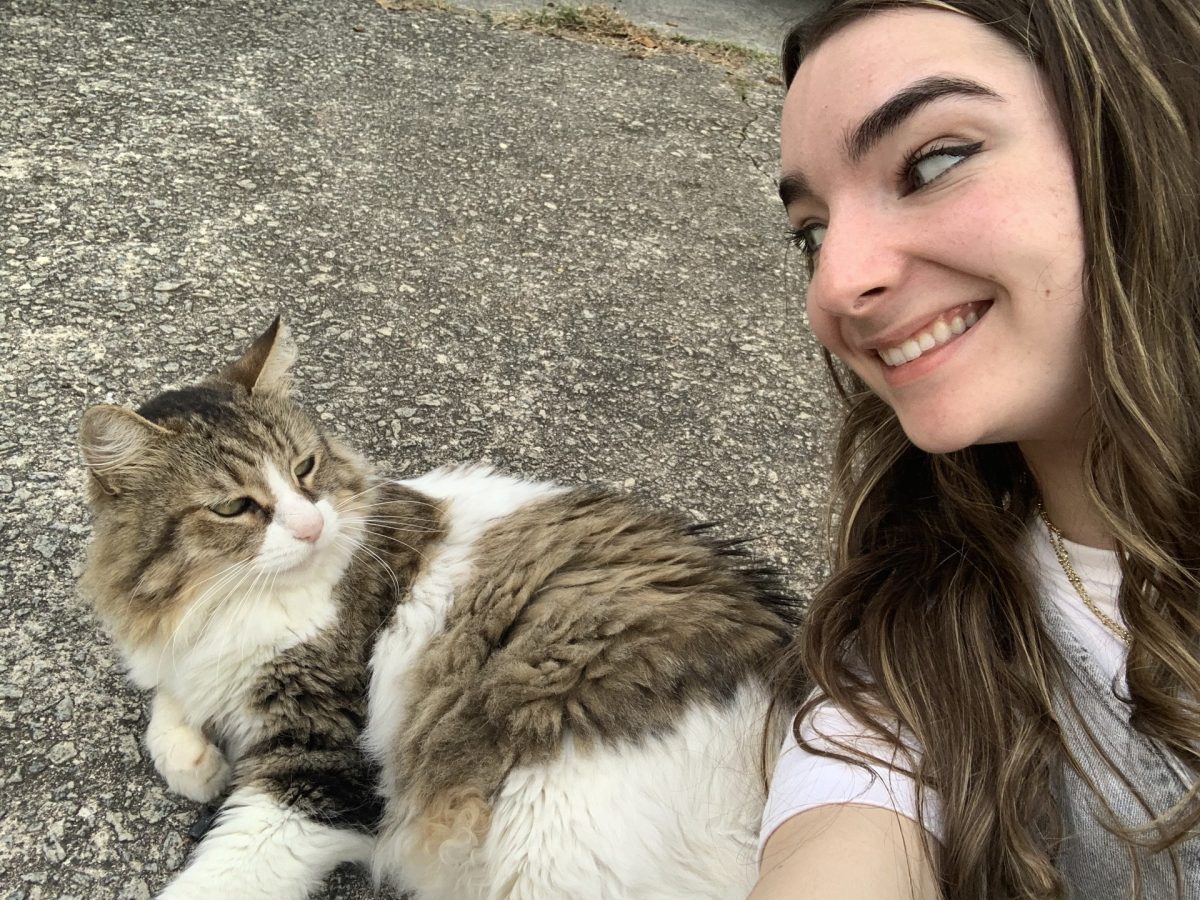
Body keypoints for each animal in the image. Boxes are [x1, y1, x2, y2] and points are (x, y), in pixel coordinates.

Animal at [79, 319, 801, 900]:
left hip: (551, 831)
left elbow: (227, 870)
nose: (312, 526)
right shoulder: (182, 655)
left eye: (305, 468)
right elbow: (167, 705)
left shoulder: (324, 767)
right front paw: (197, 761)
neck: (221, 603)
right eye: (234, 507)